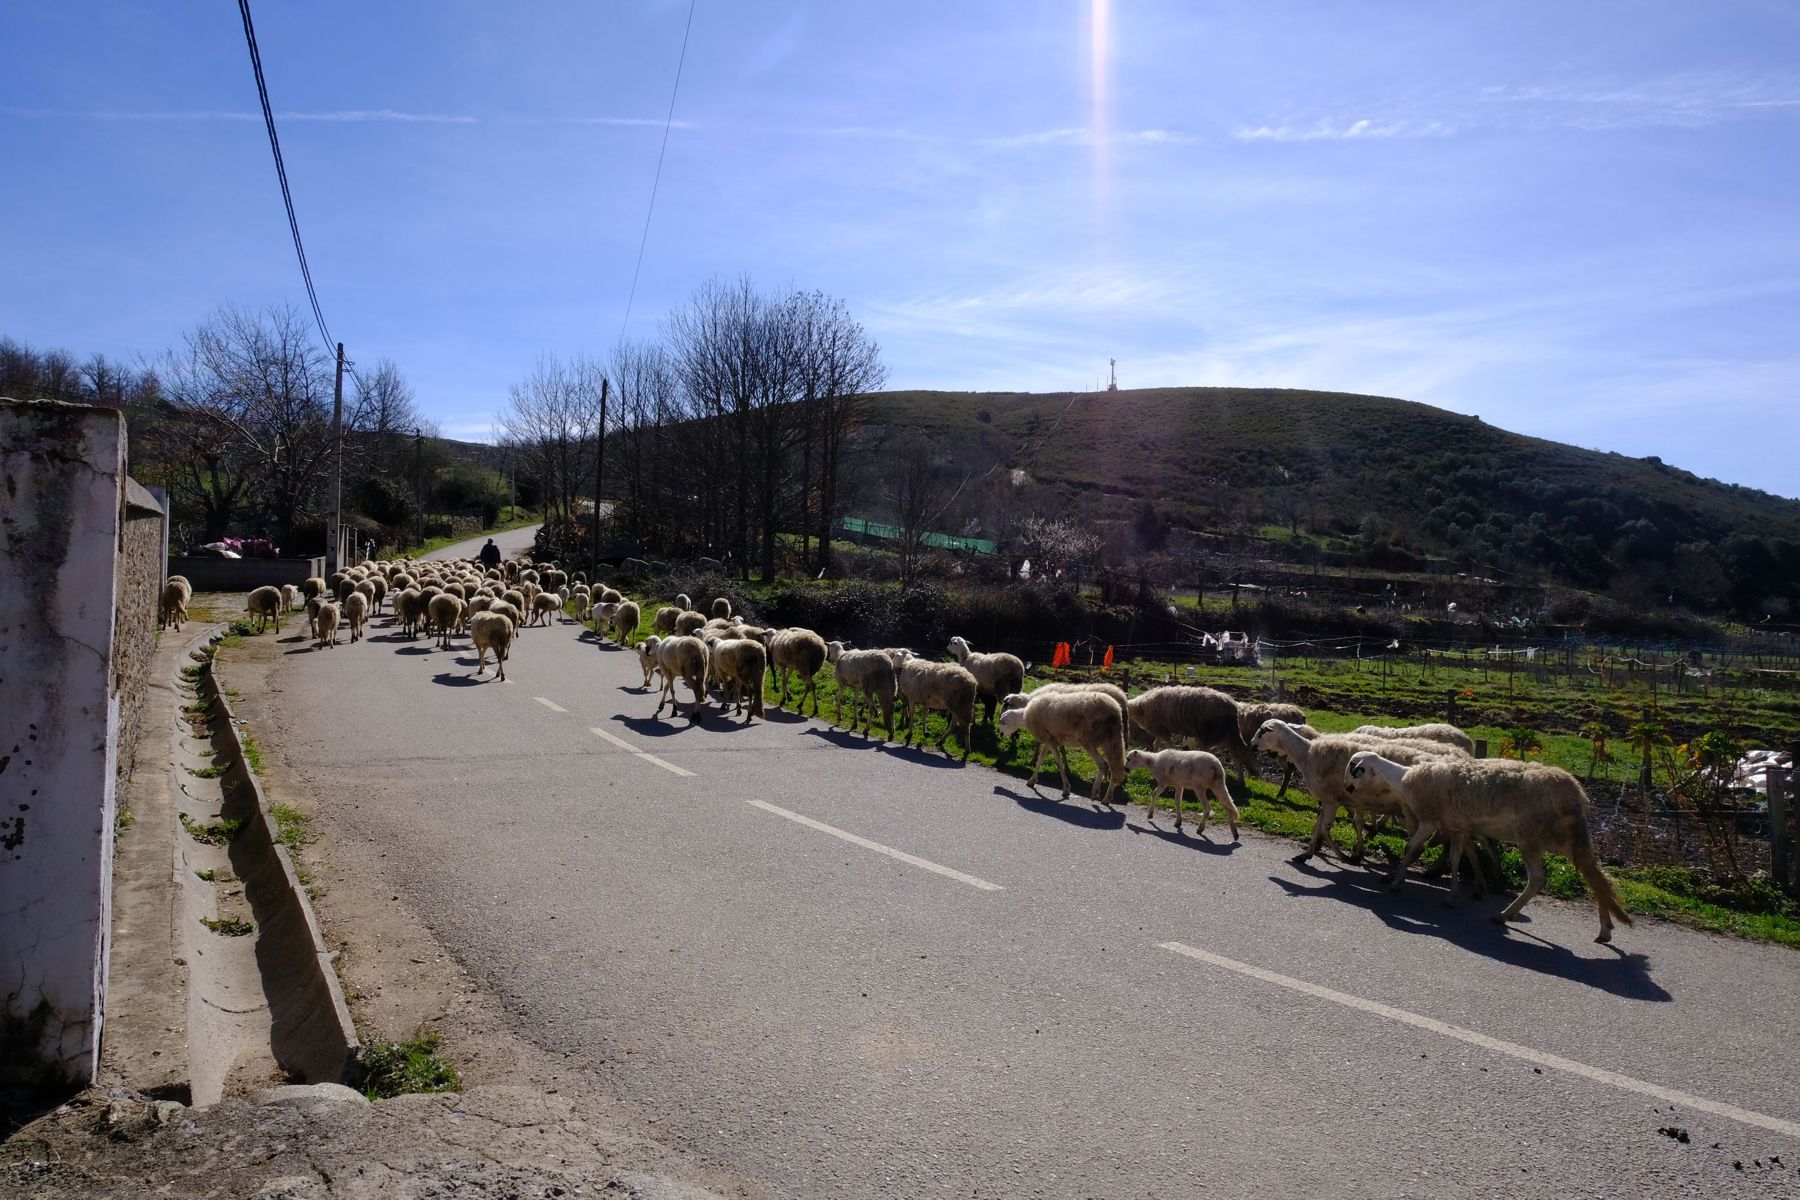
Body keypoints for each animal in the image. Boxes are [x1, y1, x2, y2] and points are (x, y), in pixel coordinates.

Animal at [1353, 755, 1634, 942]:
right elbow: (1455, 858)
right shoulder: (1457, 827)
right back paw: (1605, 929)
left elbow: (1411, 848)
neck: (1404, 779)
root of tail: (1576, 794)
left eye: (1357, 770)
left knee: (1539, 879)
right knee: (1595, 877)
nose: (1348, 788)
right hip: (1566, 840)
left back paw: (1504, 915)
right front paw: (1452, 896)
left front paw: (1395, 883)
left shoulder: (1430, 821)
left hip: (1532, 837)